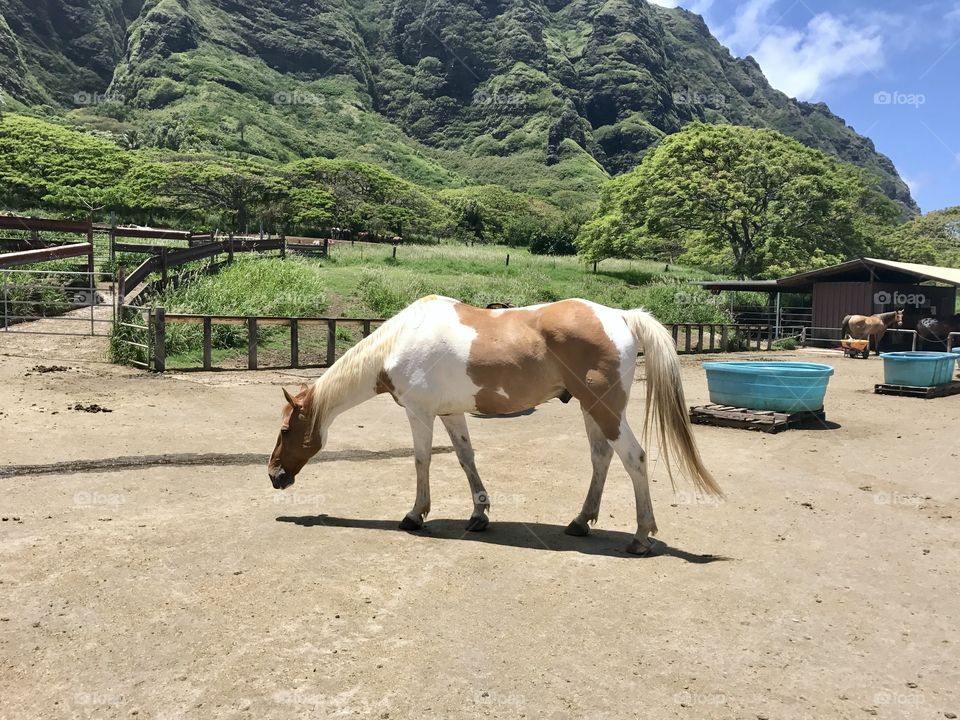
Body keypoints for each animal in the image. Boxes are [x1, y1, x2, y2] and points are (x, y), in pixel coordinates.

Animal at [268, 296, 722, 556]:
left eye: (287, 431)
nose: (274, 476)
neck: (399, 341)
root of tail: (622, 317)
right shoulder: (450, 413)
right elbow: (465, 458)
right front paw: (479, 514)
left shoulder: (420, 413)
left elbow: (421, 461)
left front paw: (416, 515)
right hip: (591, 409)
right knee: (601, 458)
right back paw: (580, 522)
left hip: (604, 408)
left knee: (634, 458)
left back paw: (641, 536)